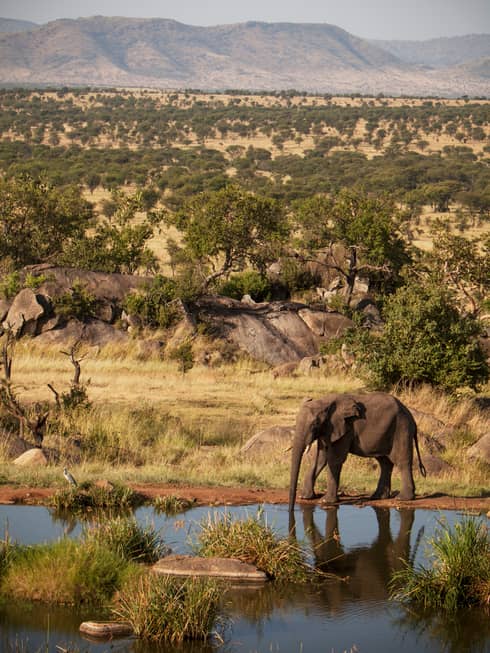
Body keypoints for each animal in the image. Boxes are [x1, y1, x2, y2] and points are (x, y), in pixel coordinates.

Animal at [288, 390, 424, 512]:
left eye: (315, 424)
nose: (291, 510)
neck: (324, 402)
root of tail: (411, 417)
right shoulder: (328, 430)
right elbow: (320, 459)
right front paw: (305, 497)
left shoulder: (345, 428)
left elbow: (334, 460)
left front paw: (326, 501)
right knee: (384, 462)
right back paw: (378, 496)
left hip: (401, 429)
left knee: (402, 461)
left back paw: (403, 498)